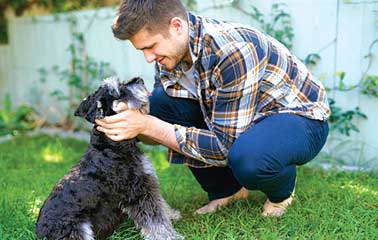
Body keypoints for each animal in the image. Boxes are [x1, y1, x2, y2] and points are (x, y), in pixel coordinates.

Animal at [36, 77, 182, 240]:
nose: (139, 79)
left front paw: (172, 215)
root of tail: (39, 233)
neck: (112, 145)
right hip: (78, 229)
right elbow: (155, 219)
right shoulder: (138, 192)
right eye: (120, 91)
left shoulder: (147, 184)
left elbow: (160, 205)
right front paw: (170, 236)